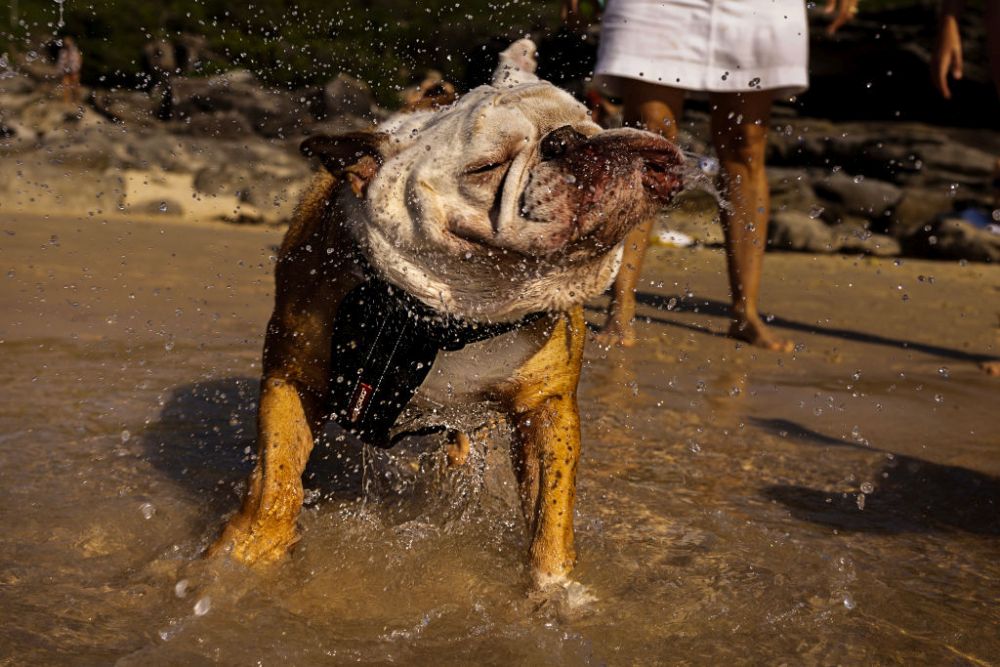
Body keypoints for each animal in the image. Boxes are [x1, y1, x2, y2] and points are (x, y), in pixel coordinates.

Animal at [206, 39, 684, 588]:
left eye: (587, 120)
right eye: (487, 167)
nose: (568, 140)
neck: (452, 312)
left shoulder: (547, 407)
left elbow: (552, 511)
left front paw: (554, 587)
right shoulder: (292, 379)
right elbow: (276, 481)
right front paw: (245, 554)